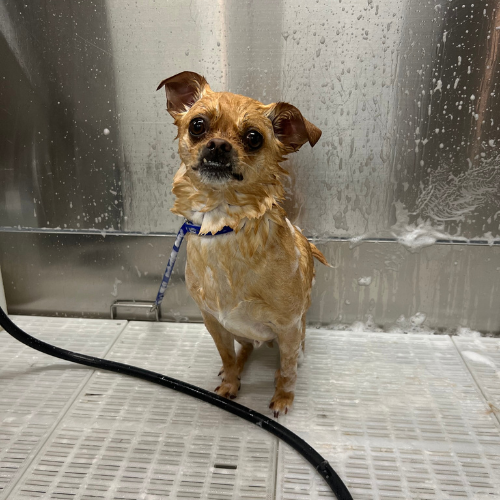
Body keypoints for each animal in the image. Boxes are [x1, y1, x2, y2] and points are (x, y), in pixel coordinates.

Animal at [157, 69, 328, 414]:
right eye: (197, 125)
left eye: (253, 138)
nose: (218, 145)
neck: (222, 224)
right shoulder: (214, 323)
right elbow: (227, 356)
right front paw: (230, 383)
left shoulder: (289, 327)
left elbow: (287, 369)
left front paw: (283, 397)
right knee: (243, 349)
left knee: (290, 358)